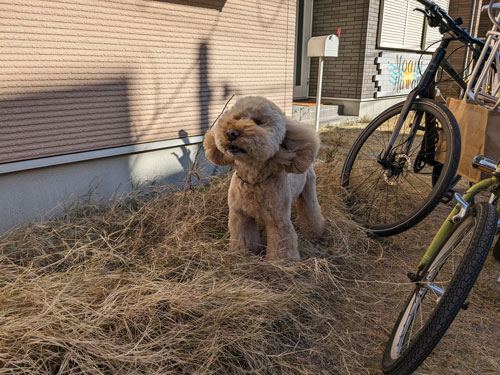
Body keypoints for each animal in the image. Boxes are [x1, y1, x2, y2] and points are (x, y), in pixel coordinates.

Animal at [203, 97, 324, 262]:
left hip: (309, 187)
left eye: (258, 122)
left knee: (311, 209)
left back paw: (316, 232)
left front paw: (280, 264)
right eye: (236, 118)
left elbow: (281, 246)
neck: (253, 181)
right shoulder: (240, 216)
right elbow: (243, 239)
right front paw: (241, 256)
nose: (231, 133)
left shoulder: (278, 220)